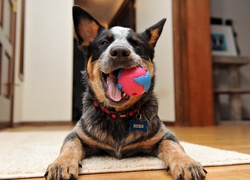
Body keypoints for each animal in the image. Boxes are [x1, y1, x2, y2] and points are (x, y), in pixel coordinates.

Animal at [44, 5, 207, 180]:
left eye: (137, 44)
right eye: (104, 42)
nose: (120, 51)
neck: (118, 115)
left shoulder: (163, 135)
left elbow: (173, 145)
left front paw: (186, 162)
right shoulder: (77, 134)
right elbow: (70, 145)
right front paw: (61, 164)